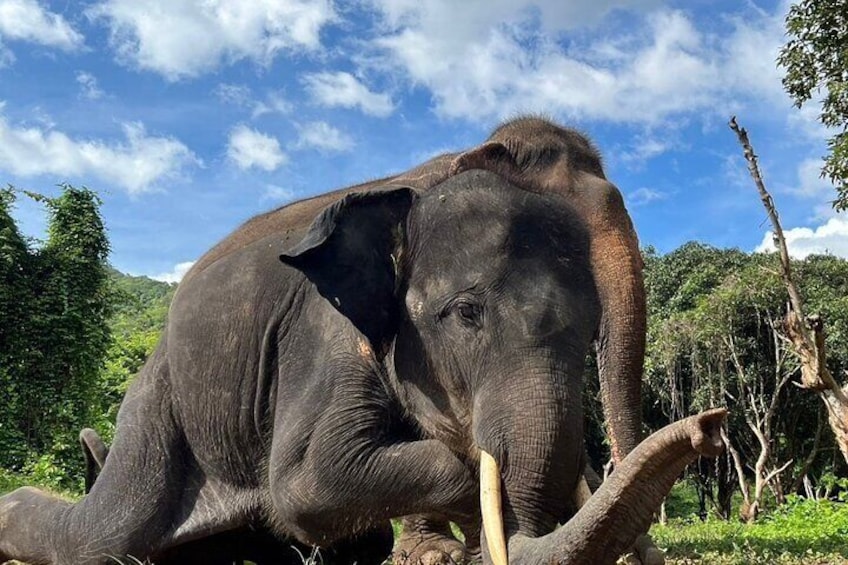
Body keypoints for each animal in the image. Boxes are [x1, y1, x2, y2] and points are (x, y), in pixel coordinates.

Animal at [1, 169, 728, 564]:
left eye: (586, 336)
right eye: (467, 314)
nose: (712, 423)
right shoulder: (321, 339)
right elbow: (305, 482)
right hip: (158, 400)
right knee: (105, 532)